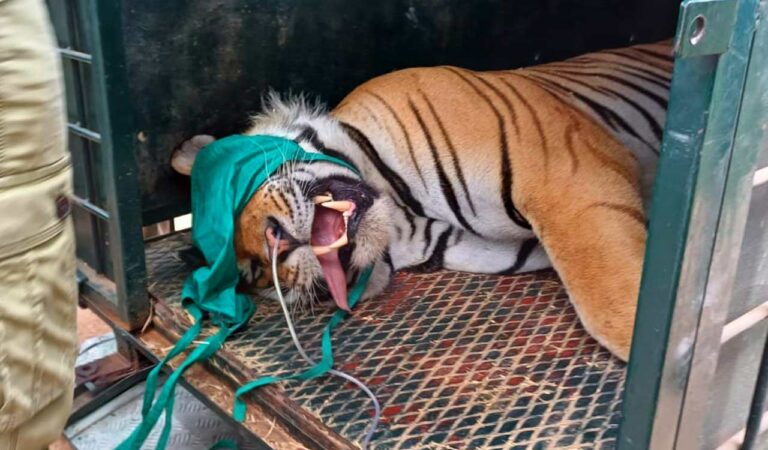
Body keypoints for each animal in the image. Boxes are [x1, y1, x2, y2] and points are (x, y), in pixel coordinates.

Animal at [171, 40, 673, 361]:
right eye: (255, 274)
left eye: (240, 191)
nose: (276, 247)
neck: (406, 217)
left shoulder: (563, 172)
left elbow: (613, 309)